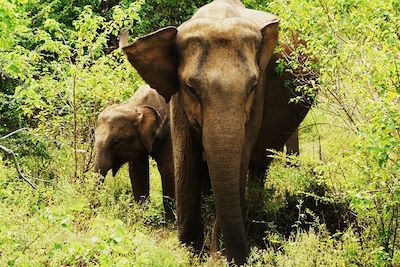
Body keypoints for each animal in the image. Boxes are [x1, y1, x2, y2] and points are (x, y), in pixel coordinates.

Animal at [94, 85, 176, 221]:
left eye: (116, 142)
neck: (136, 107)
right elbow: (138, 170)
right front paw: (142, 218)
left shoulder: (171, 134)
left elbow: (169, 169)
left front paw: (171, 222)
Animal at [122, 0, 284, 264]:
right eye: (191, 88)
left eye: (252, 86)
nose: (243, 258)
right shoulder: (176, 101)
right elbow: (185, 160)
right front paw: (188, 252)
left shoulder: (256, 104)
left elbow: (239, 161)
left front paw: (215, 255)